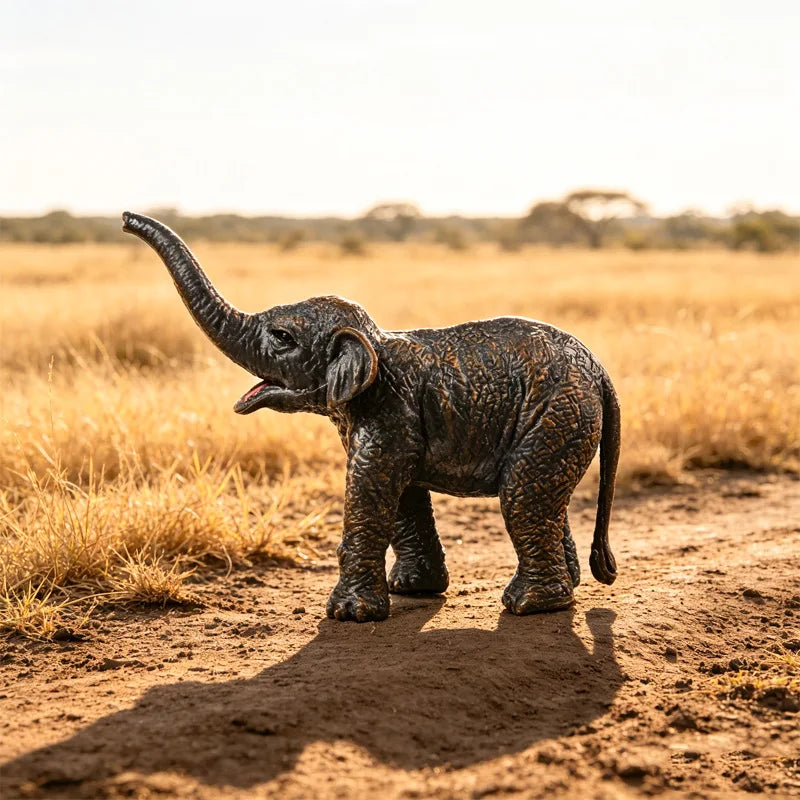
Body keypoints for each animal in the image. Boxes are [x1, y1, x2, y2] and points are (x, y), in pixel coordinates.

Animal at [122, 212, 620, 622]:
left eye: (281, 338)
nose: (126, 219)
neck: (373, 341)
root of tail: (600, 371)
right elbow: (401, 493)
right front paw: (412, 590)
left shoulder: (389, 411)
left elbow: (370, 484)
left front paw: (350, 616)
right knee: (540, 496)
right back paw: (564, 590)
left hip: (557, 411)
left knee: (521, 491)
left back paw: (529, 605)